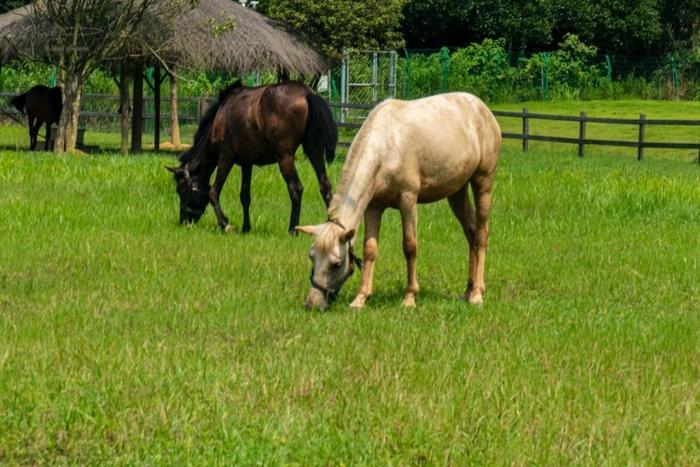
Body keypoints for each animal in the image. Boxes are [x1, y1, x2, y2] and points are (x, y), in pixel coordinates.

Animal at [167, 81, 336, 234]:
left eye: (181, 190)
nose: (184, 221)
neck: (220, 116)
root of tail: (307, 93)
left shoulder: (226, 157)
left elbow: (213, 193)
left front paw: (225, 224)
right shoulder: (246, 164)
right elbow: (245, 196)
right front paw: (246, 227)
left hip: (285, 157)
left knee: (296, 189)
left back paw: (292, 230)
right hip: (314, 149)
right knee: (325, 186)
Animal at [298, 92, 500, 310]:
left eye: (336, 264)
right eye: (312, 257)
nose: (312, 304)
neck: (386, 146)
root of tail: (482, 108)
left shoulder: (408, 200)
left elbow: (410, 246)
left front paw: (409, 297)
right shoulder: (373, 207)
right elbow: (369, 250)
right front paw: (361, 298)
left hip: (483, 182)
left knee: (481, 234)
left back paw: (477, 294)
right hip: (457, 193)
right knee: (471, 234)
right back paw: (467, 291)